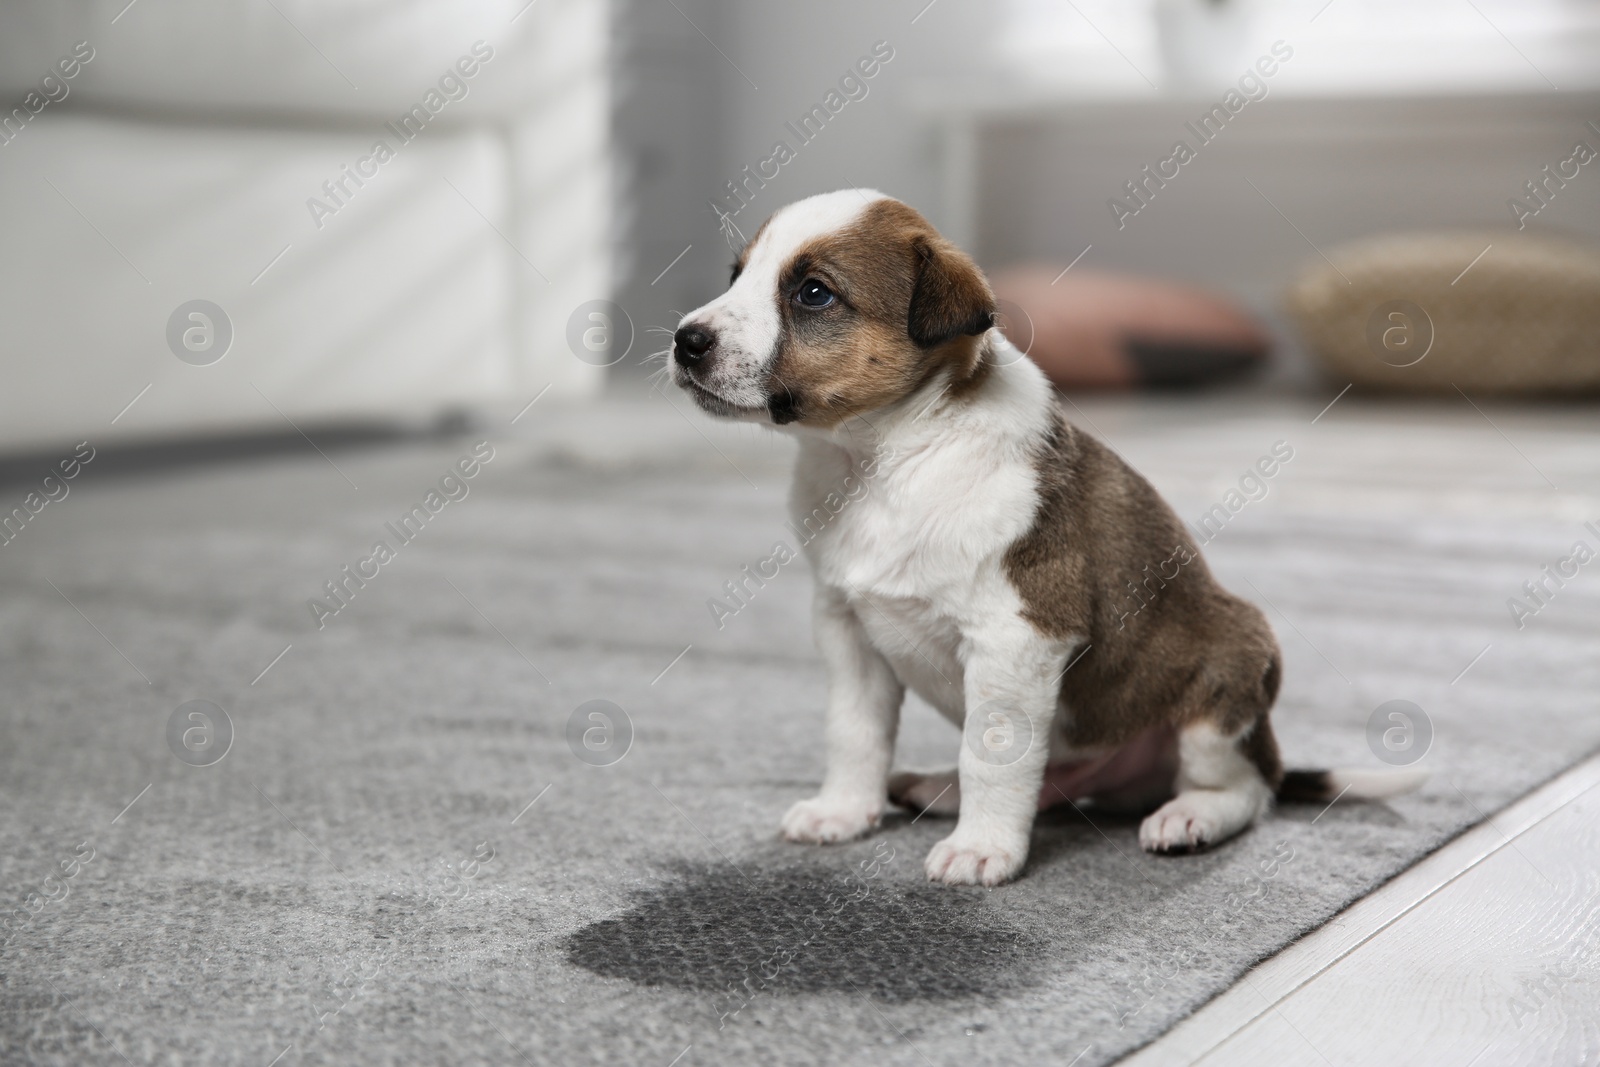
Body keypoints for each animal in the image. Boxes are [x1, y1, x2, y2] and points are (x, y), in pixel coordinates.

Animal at [675, 189, 1427, 883]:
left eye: (813, 293)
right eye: (737, 274)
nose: (685, 338)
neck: (888, 460)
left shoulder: (1017, 638)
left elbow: (991, 752)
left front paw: (983, 849)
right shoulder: (847, 631)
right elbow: (854, 733)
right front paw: (844, 810)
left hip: (1226, 686)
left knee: (1247, 789)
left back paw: (1189, 816)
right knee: (1055, 783)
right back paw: (941, 788)